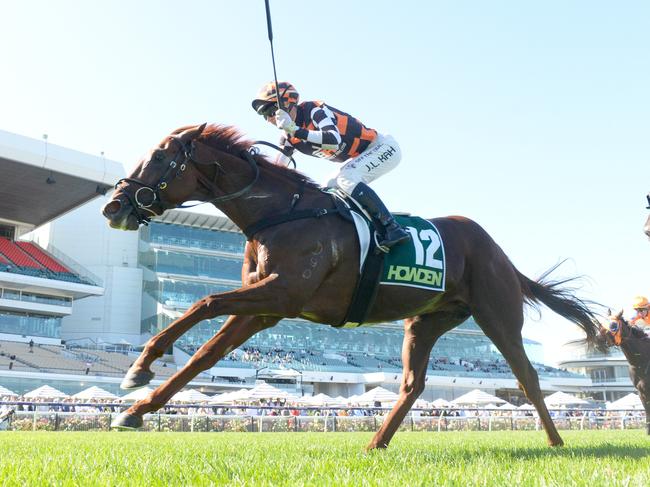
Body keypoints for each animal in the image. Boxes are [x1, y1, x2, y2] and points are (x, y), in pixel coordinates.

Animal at [101, 123, 596, 450]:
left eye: (159, 158)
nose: (113, 206)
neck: (280, 212)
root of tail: (500, 254)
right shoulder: (264, 310)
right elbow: (204, 354)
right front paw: (134, 409)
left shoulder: (283, 295)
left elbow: (203, 301)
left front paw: (140, 366)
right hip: (425, 322)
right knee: (412, 384)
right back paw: (376, 443)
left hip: (497, 316)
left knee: (528, 377)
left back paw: (556, 444)